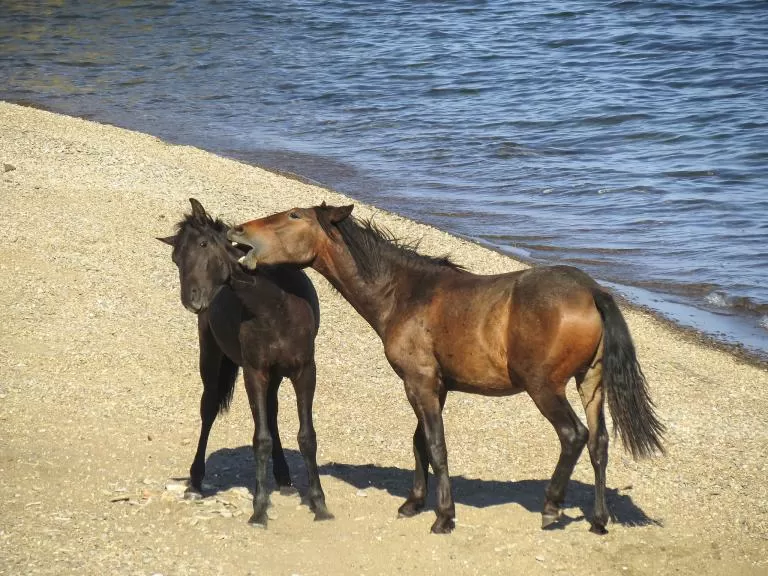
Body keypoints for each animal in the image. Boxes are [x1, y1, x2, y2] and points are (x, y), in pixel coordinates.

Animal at [226, 204, 660, 536]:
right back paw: (599, 520)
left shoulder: (419, 383)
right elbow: (419, 442)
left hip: (545, 388)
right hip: (591, 382)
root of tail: (591, 291)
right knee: (599, 444)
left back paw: (552, 508)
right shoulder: (437, 387)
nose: (238, 230)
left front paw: (444, 516)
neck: (404, 294)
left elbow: (435, 446)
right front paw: (414, 502)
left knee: (574, 436)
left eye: (294, 215)